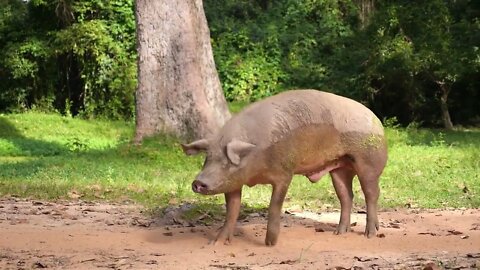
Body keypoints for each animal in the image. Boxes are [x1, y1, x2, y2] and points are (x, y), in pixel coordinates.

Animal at [182, 89, 388, 246]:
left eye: (228, 161)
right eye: (207, 159)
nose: (198, 182)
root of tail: (376, 120)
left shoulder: (284, 173)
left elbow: (274, 206)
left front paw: (270, 244)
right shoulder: (233, 183)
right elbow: (232, 211)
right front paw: (215, 243)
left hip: (369, 162)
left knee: (371, 194)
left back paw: (370, 234)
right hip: (339, 168)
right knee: (346, 196)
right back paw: (339, 233)